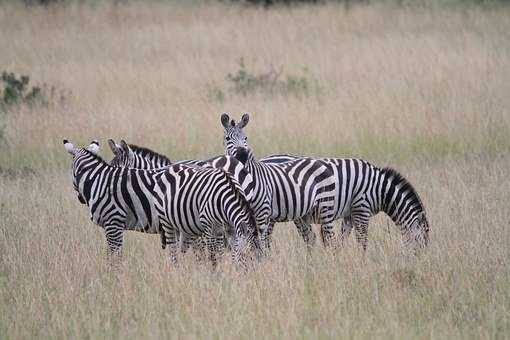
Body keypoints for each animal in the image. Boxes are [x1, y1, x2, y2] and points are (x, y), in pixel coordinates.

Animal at [223, 113, 430, 254]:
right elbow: (362, 240)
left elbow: (343, 236)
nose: (421, 261)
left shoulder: (350, 213)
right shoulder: (361, 208)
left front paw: (340, 253)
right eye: (421, 245)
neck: (379, 188)